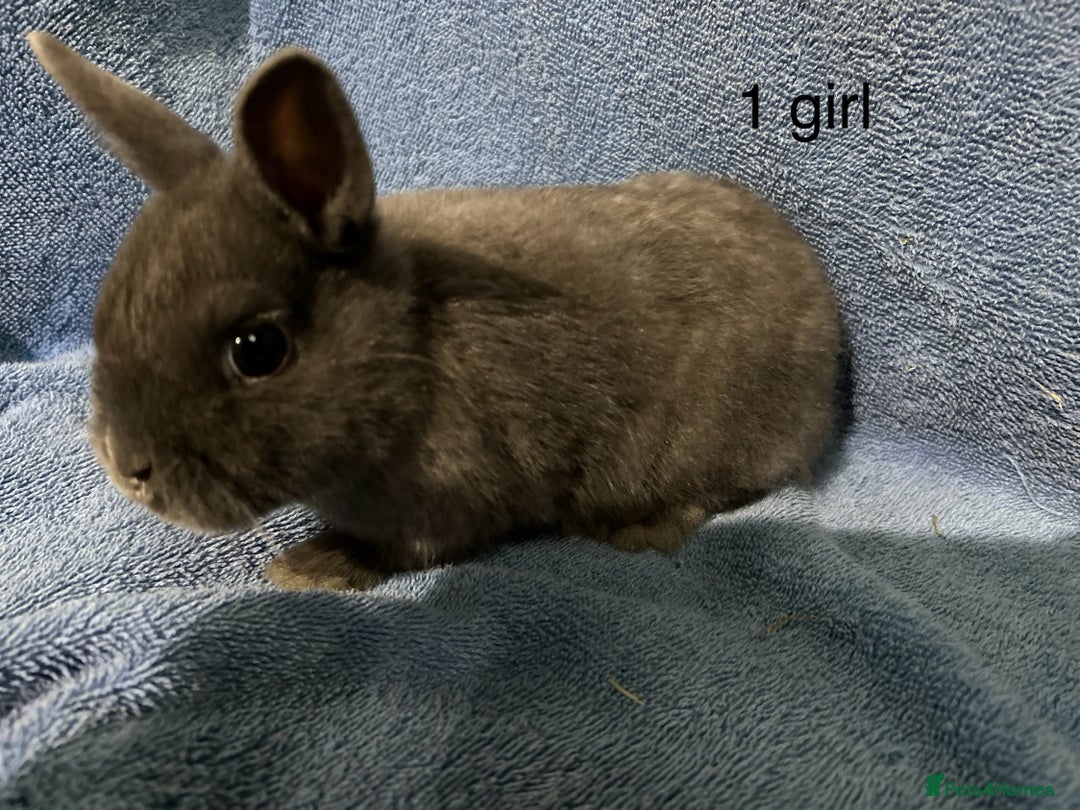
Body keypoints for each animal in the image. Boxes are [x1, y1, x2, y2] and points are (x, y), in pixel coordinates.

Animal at [29, 32, 842, 591]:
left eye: (257, 349)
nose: (126, 467)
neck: (407, 350)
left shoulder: (445, 498)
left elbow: (399, 550)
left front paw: (308, 566)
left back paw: (639, 532)